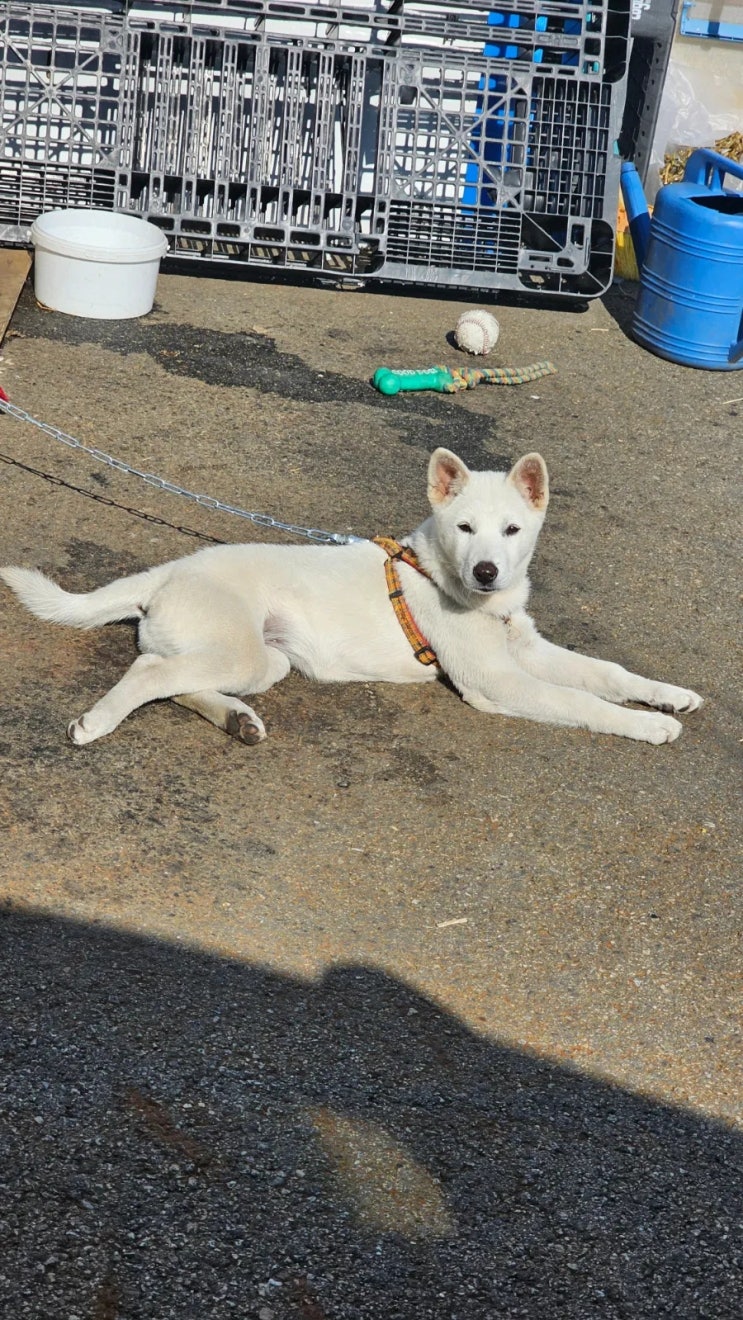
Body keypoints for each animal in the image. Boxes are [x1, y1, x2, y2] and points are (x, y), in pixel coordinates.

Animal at [0, 448, 702, 746]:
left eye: (511, 531)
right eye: (464, 528)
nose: (486, 573)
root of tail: (170, 569)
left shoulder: (526, 649)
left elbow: (607, 673)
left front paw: (669, 695)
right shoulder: (497, 681)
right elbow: (584, 702)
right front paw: (648, 725)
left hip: (266, 660)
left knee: (165, 671)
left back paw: (236, 719)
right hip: (239, 650)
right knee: (148, 671)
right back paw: (98, 722)